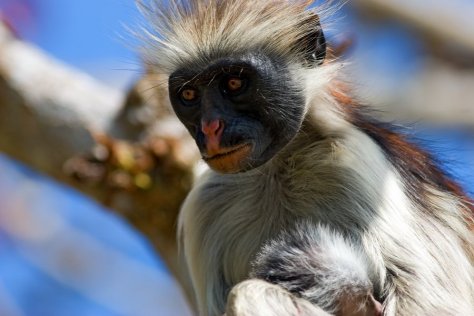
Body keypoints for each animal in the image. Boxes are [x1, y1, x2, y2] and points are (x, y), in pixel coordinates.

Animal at [138, 1, 474, 314]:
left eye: (234, 83)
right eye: (189, 95)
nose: (210, 127)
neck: (278, 169)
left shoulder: (357, 160)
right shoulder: (206, 202)